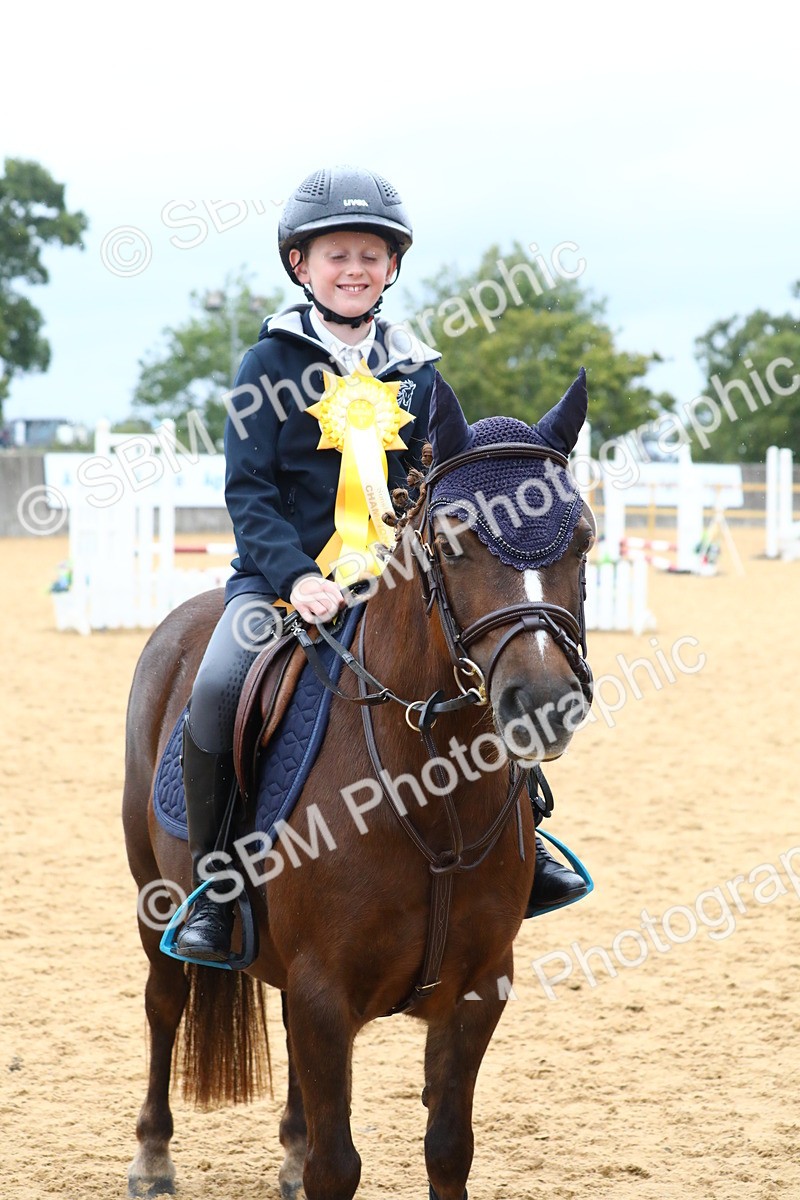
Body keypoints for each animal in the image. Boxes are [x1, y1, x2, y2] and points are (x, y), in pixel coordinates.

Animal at [122, 368, 595, 1200]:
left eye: (584, 540)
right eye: (453, 542)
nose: (543, 703)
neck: (434, 795)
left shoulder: (478, 991)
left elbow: (447, 1150)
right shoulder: (326, 997)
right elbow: (336, 1167)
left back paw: (283, 1148)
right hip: (155, 899)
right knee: (163, 1002)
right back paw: (152, 1157)